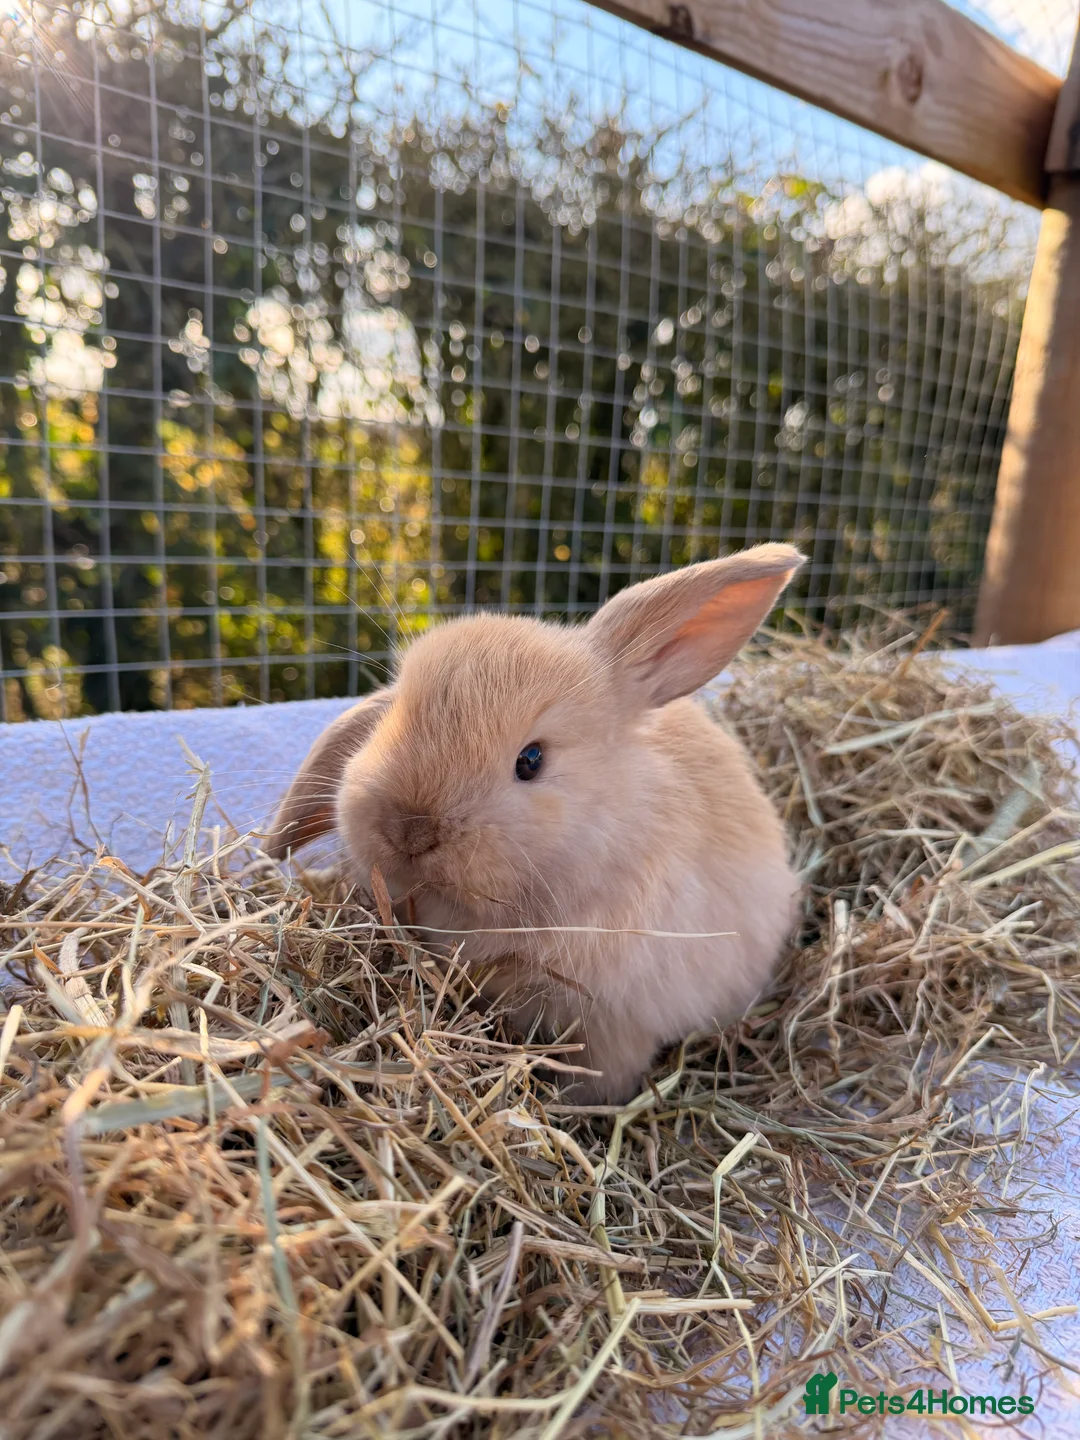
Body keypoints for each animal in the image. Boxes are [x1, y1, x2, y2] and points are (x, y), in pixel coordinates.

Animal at [266, 543, 804, 1104]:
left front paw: (575, 1110)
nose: (410, 830)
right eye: (388, 723)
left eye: (531, 760)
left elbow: (601, 1078)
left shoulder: (613, 1025)